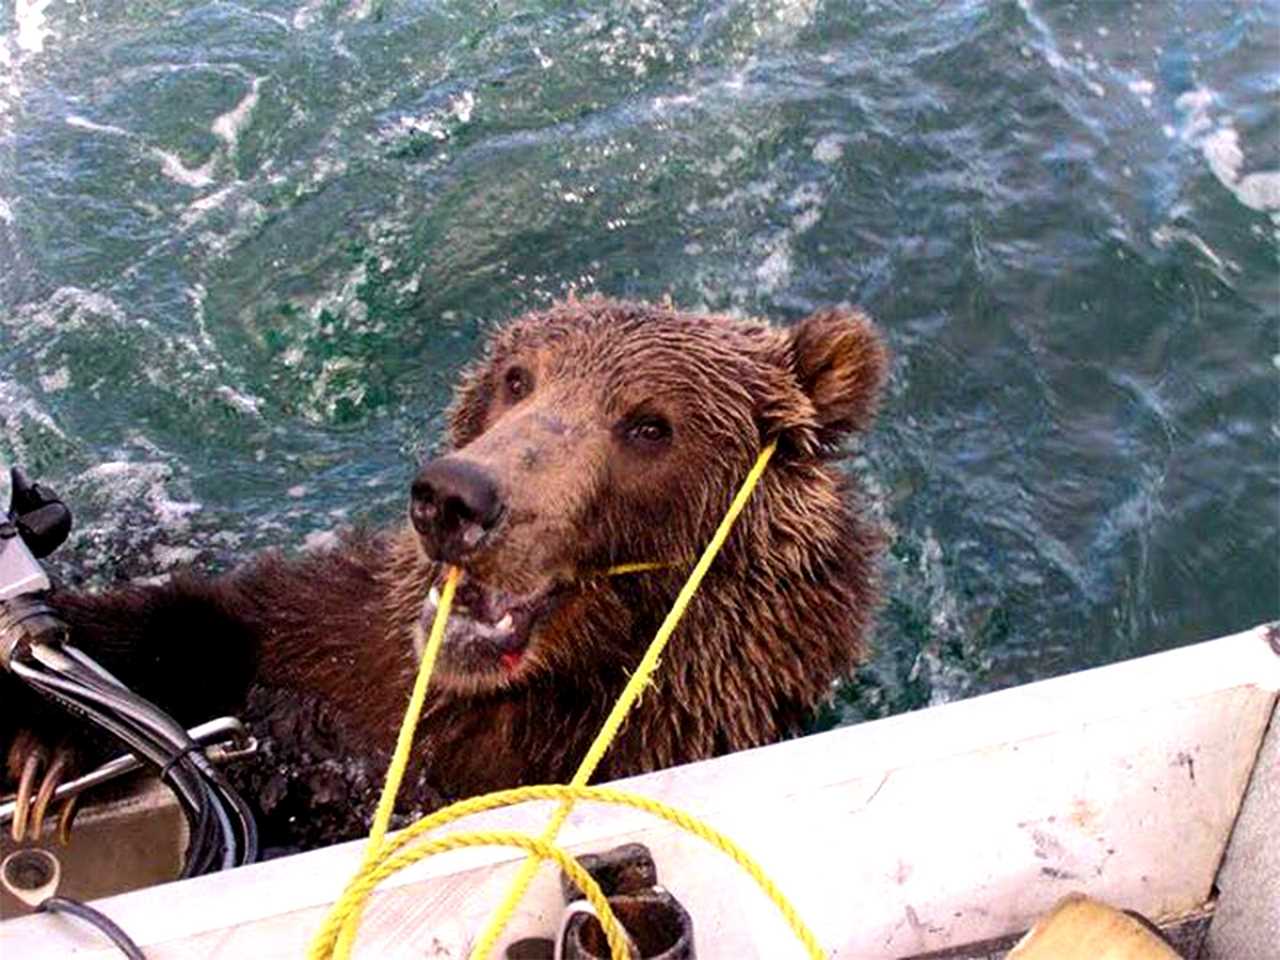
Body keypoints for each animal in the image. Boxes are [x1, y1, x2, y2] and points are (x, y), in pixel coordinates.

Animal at [0, 296, 885, 855]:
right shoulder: (329, 653)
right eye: (519, 376)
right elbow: (191, 625)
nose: (456, 496)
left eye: (649, 425)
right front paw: (50, 736)